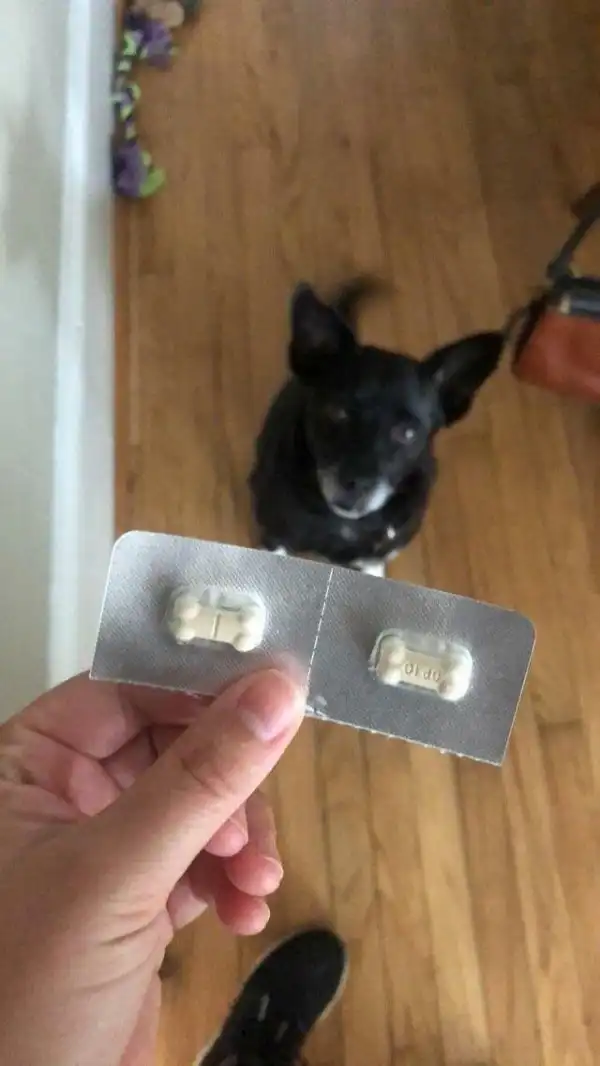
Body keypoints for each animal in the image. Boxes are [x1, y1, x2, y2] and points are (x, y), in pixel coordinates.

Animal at [249, 280, 503, 576]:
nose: (356, 485)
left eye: (408, 433)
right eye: (337, 412)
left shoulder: (374, 559)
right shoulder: (277, 538)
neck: (344, 525)